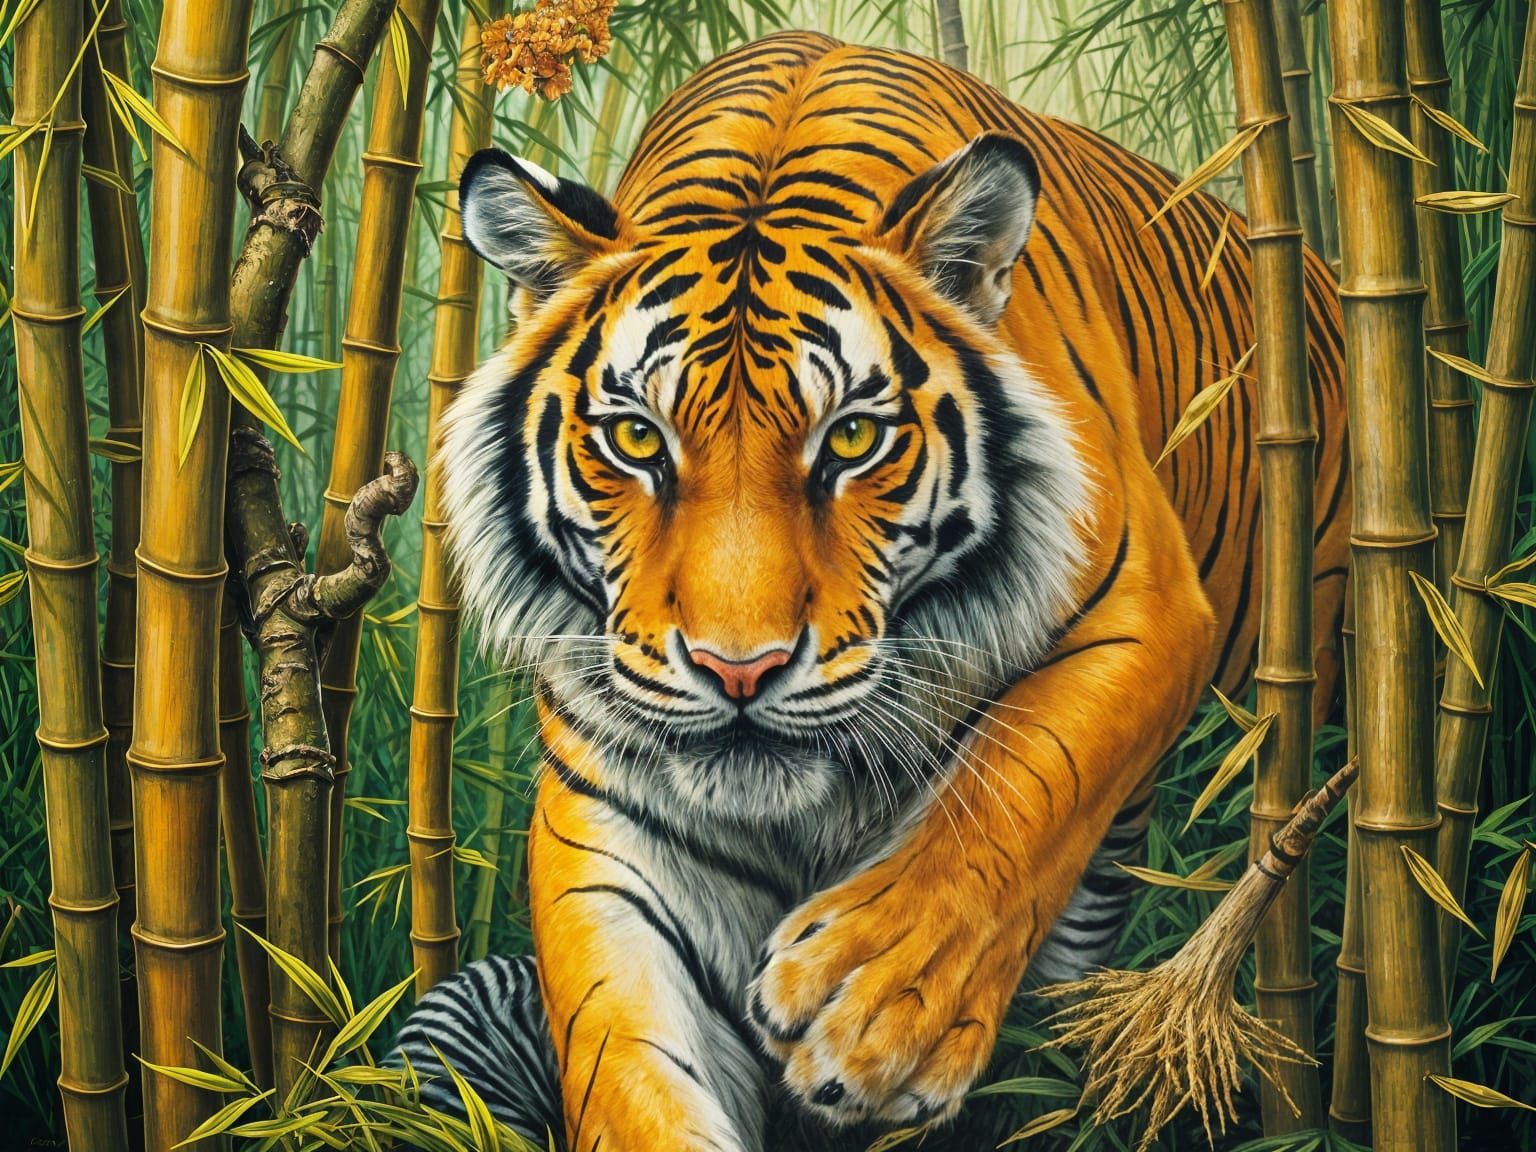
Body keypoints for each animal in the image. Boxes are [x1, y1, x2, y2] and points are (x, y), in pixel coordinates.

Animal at [388, 28, 1351, 1152]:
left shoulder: (1143, 602)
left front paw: (876, 1002)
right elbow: (626, 1059)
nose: (739, 671)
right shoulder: (606, 805)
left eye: (851, 439)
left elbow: (1017, 786)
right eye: (635, 438)